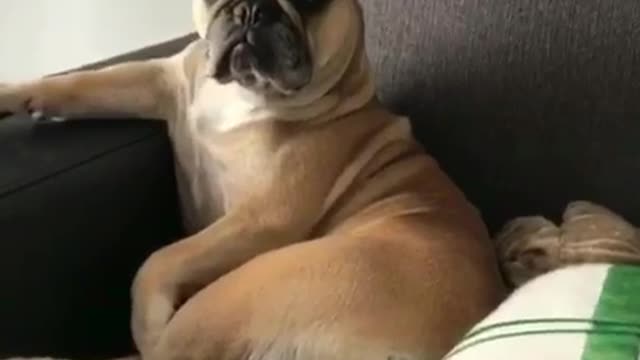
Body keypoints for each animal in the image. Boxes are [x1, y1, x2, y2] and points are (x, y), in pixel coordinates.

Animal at [1, 0, 510, 360]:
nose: (253, 9)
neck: (244, 97)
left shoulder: (261, 218)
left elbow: (161, 260)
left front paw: (147, 319)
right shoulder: (161, 79)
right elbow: (83, 83)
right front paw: (15, 94)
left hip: (236, 295)